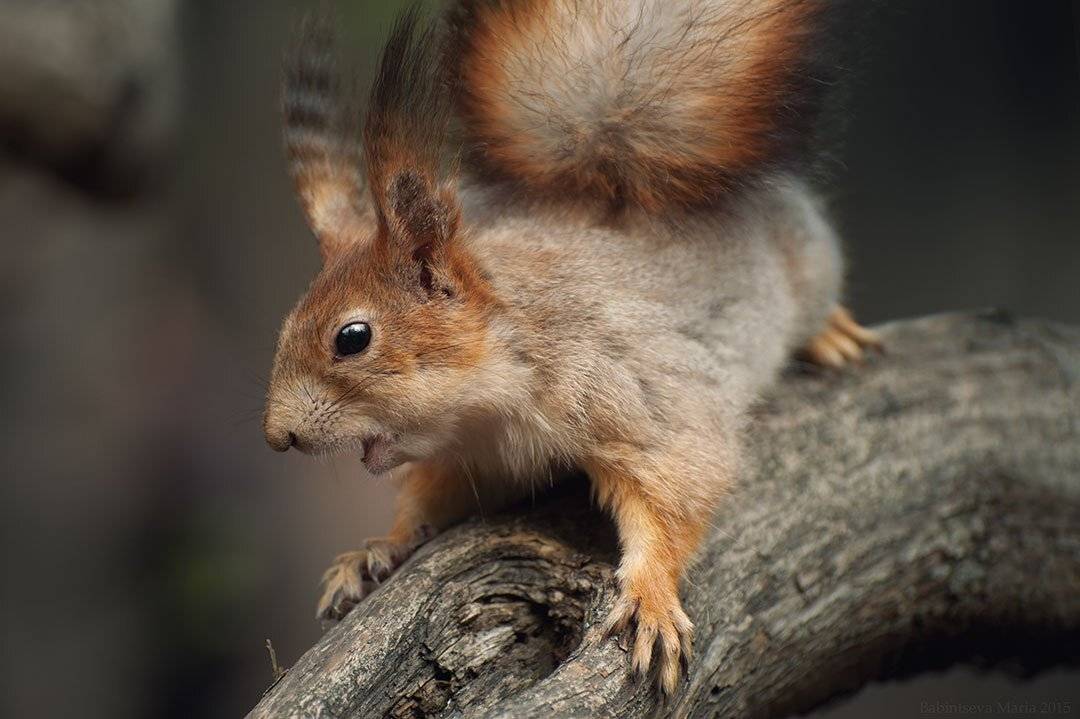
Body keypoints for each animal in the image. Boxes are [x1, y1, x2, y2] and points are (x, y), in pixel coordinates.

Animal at [263, 0, 880, 695]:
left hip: (808, 264)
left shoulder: (636, 394)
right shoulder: (475, 457)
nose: (277, 436)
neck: (492, 400)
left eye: (353, 338)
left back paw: (832, 333)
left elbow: (680, 487)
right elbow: (429, 499)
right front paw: (378, 547)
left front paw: (651, 596)